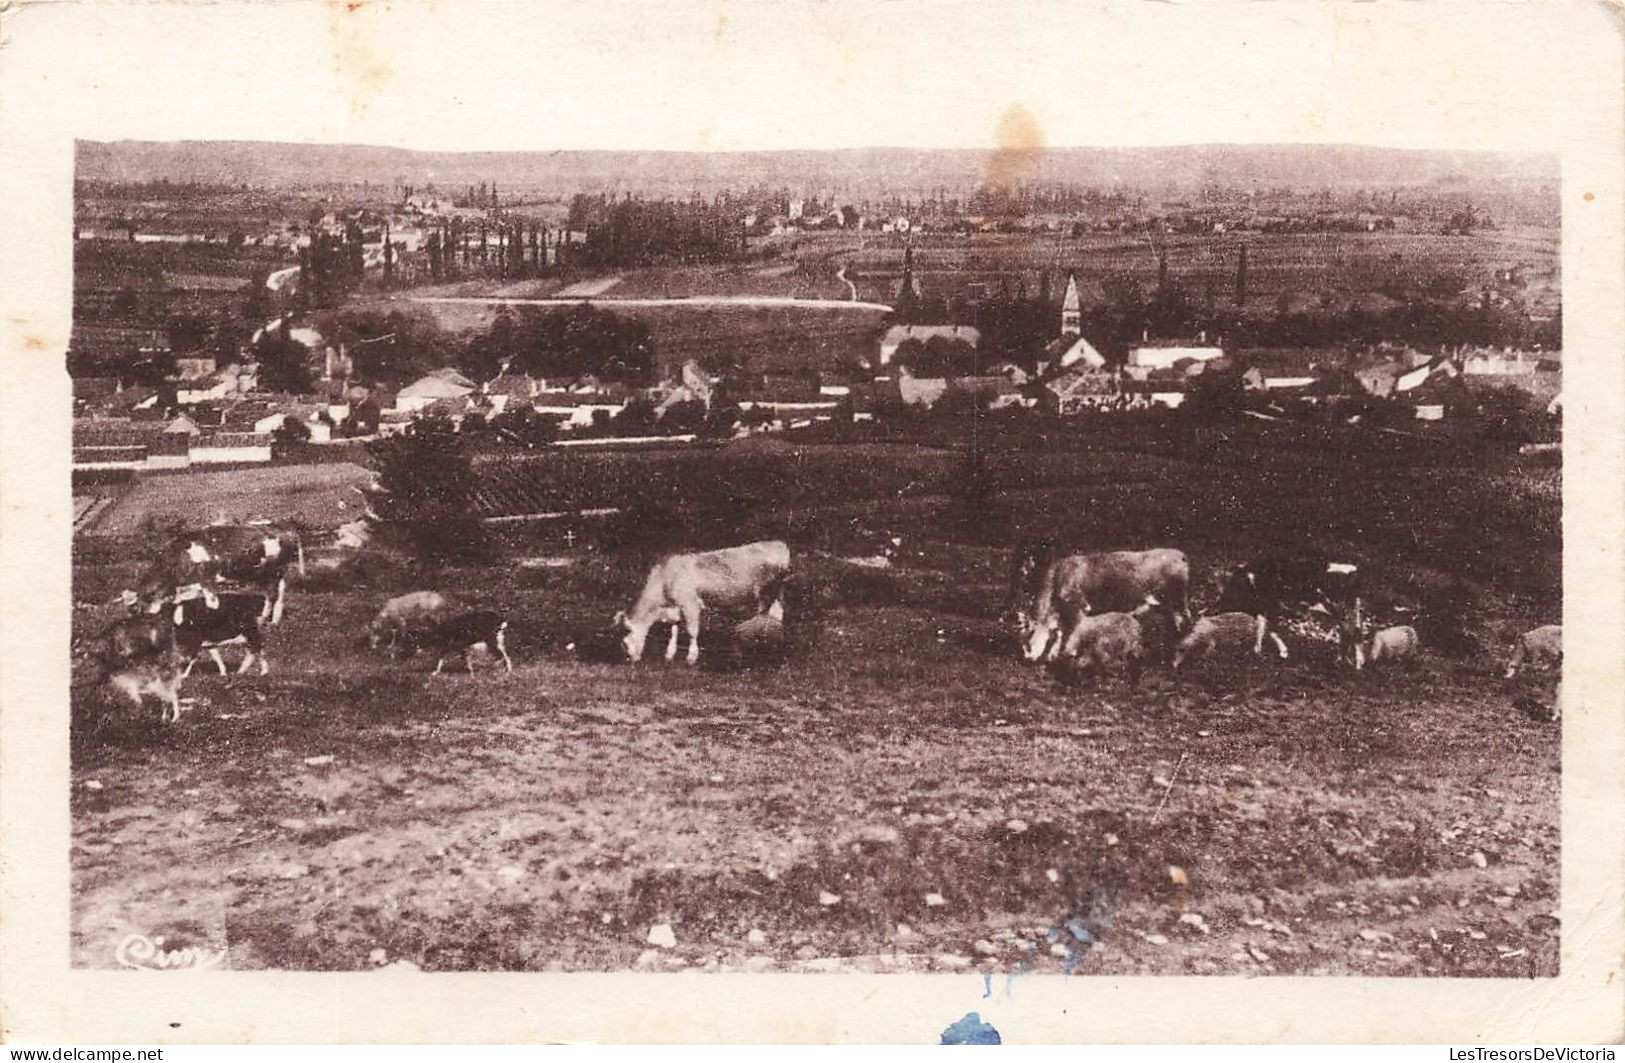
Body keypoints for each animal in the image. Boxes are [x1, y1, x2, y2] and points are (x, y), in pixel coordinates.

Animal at [133, 523, 307, 624]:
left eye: (144, 600)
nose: (145, 617)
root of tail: (285, 528)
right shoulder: (191, 585)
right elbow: (181, 602)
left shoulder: (207, 579)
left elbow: (212, 603)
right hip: (270, 573)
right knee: (278, 595)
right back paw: (272, 619)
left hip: (273, 572)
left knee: (272, 595)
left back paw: (267, 620)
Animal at [614, 542, 793, 666]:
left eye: (624, 643)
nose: (630, 661)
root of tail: (778, 544)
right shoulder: (676, 607)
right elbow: (674, 629)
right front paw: (669, 654)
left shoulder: (690, 604)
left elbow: (692, 631)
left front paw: (691, 657)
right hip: (778, 593)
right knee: (777, 615)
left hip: (767, 593)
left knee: (767, 616)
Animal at [1020, 549, 1189, 666]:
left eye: (1027, 643)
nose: (1028, 659)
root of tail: (1180, 555)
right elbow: (1060, 633)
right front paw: (1052, 656)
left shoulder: (1079, 608)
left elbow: (1072, 633)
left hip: (1176, 601)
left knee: (1184, 622)